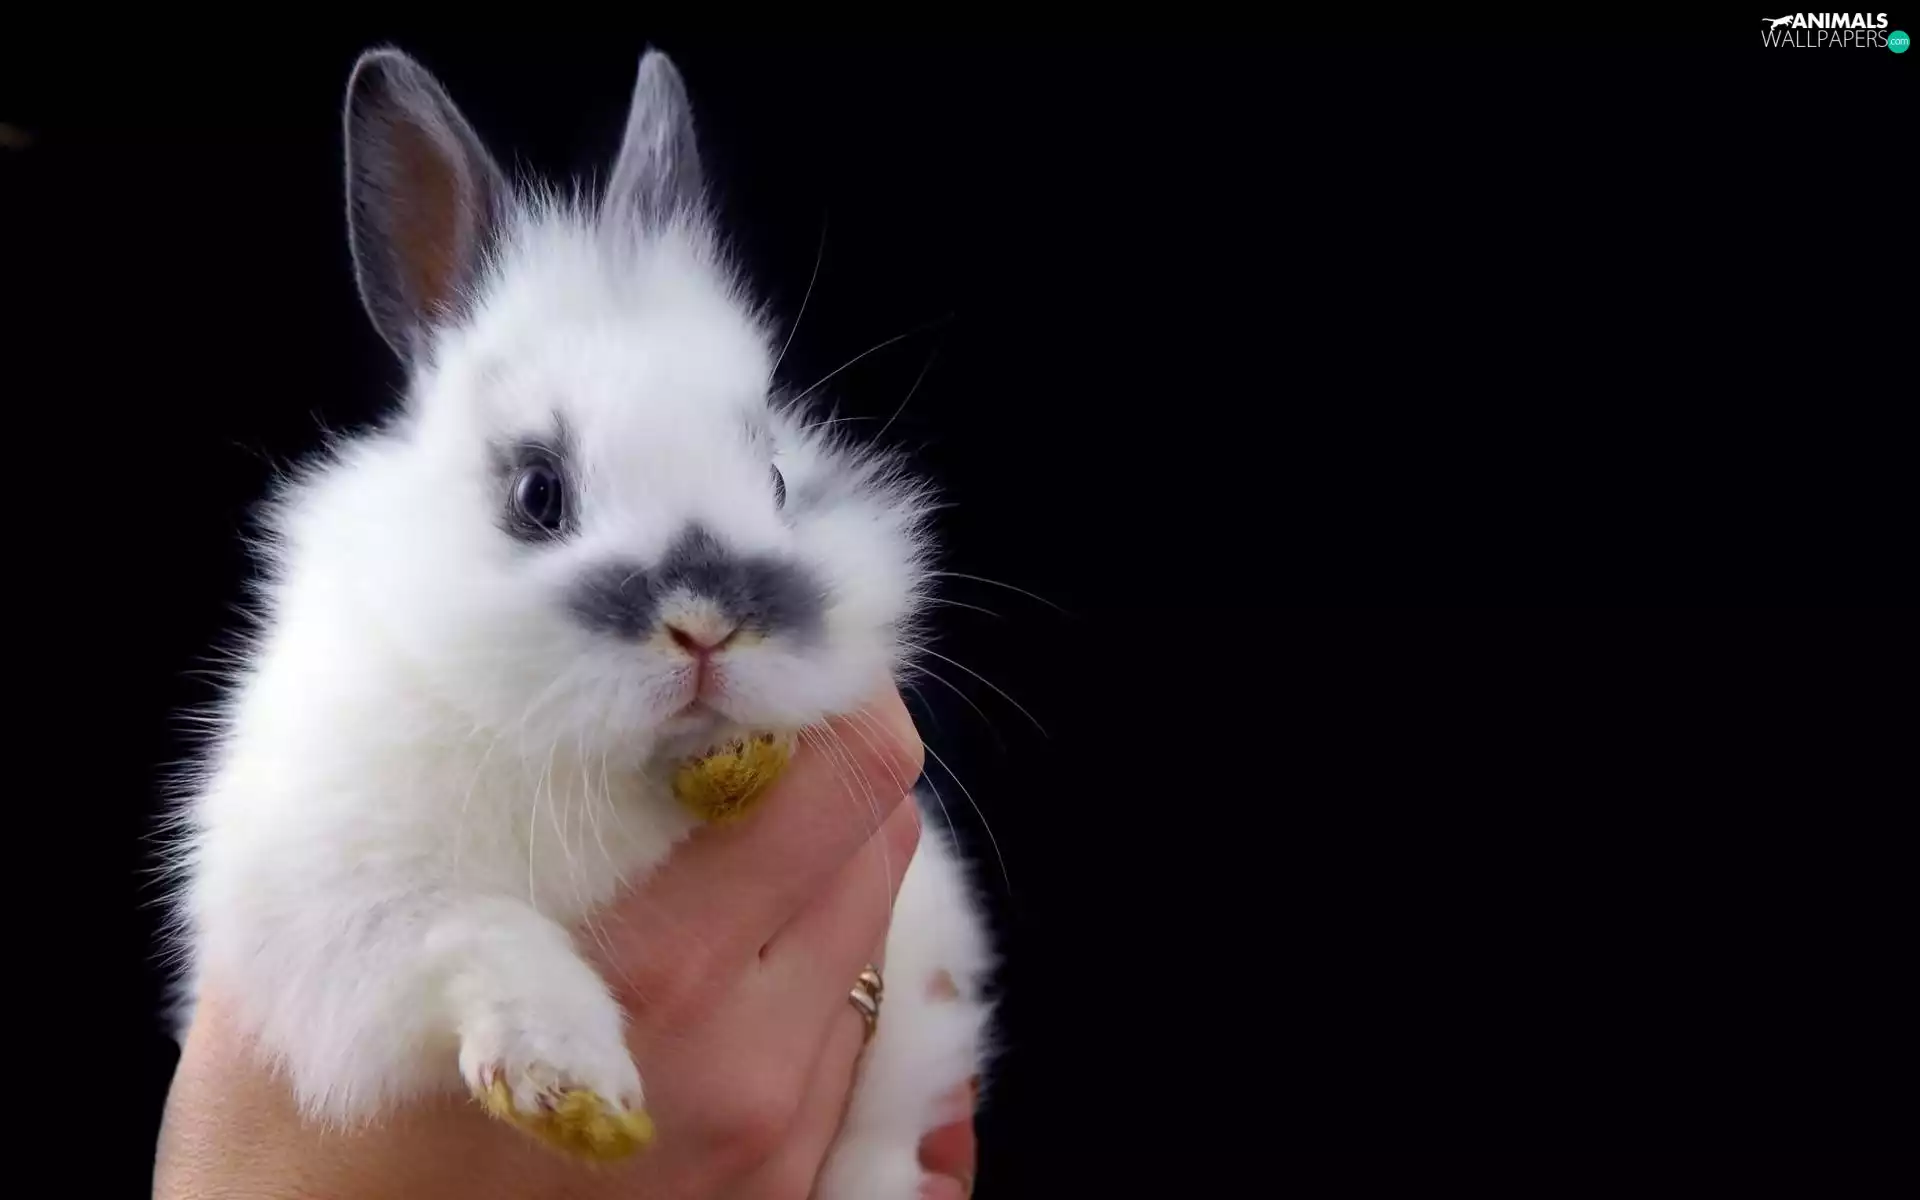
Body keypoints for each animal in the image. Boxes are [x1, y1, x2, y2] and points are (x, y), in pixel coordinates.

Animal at [159, 45, 996, 1197]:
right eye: (536, 494)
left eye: (779, 479)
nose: (706, 624)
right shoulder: (328, 910)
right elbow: (474, 932)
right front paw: (574, 1091)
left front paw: (735, 762)